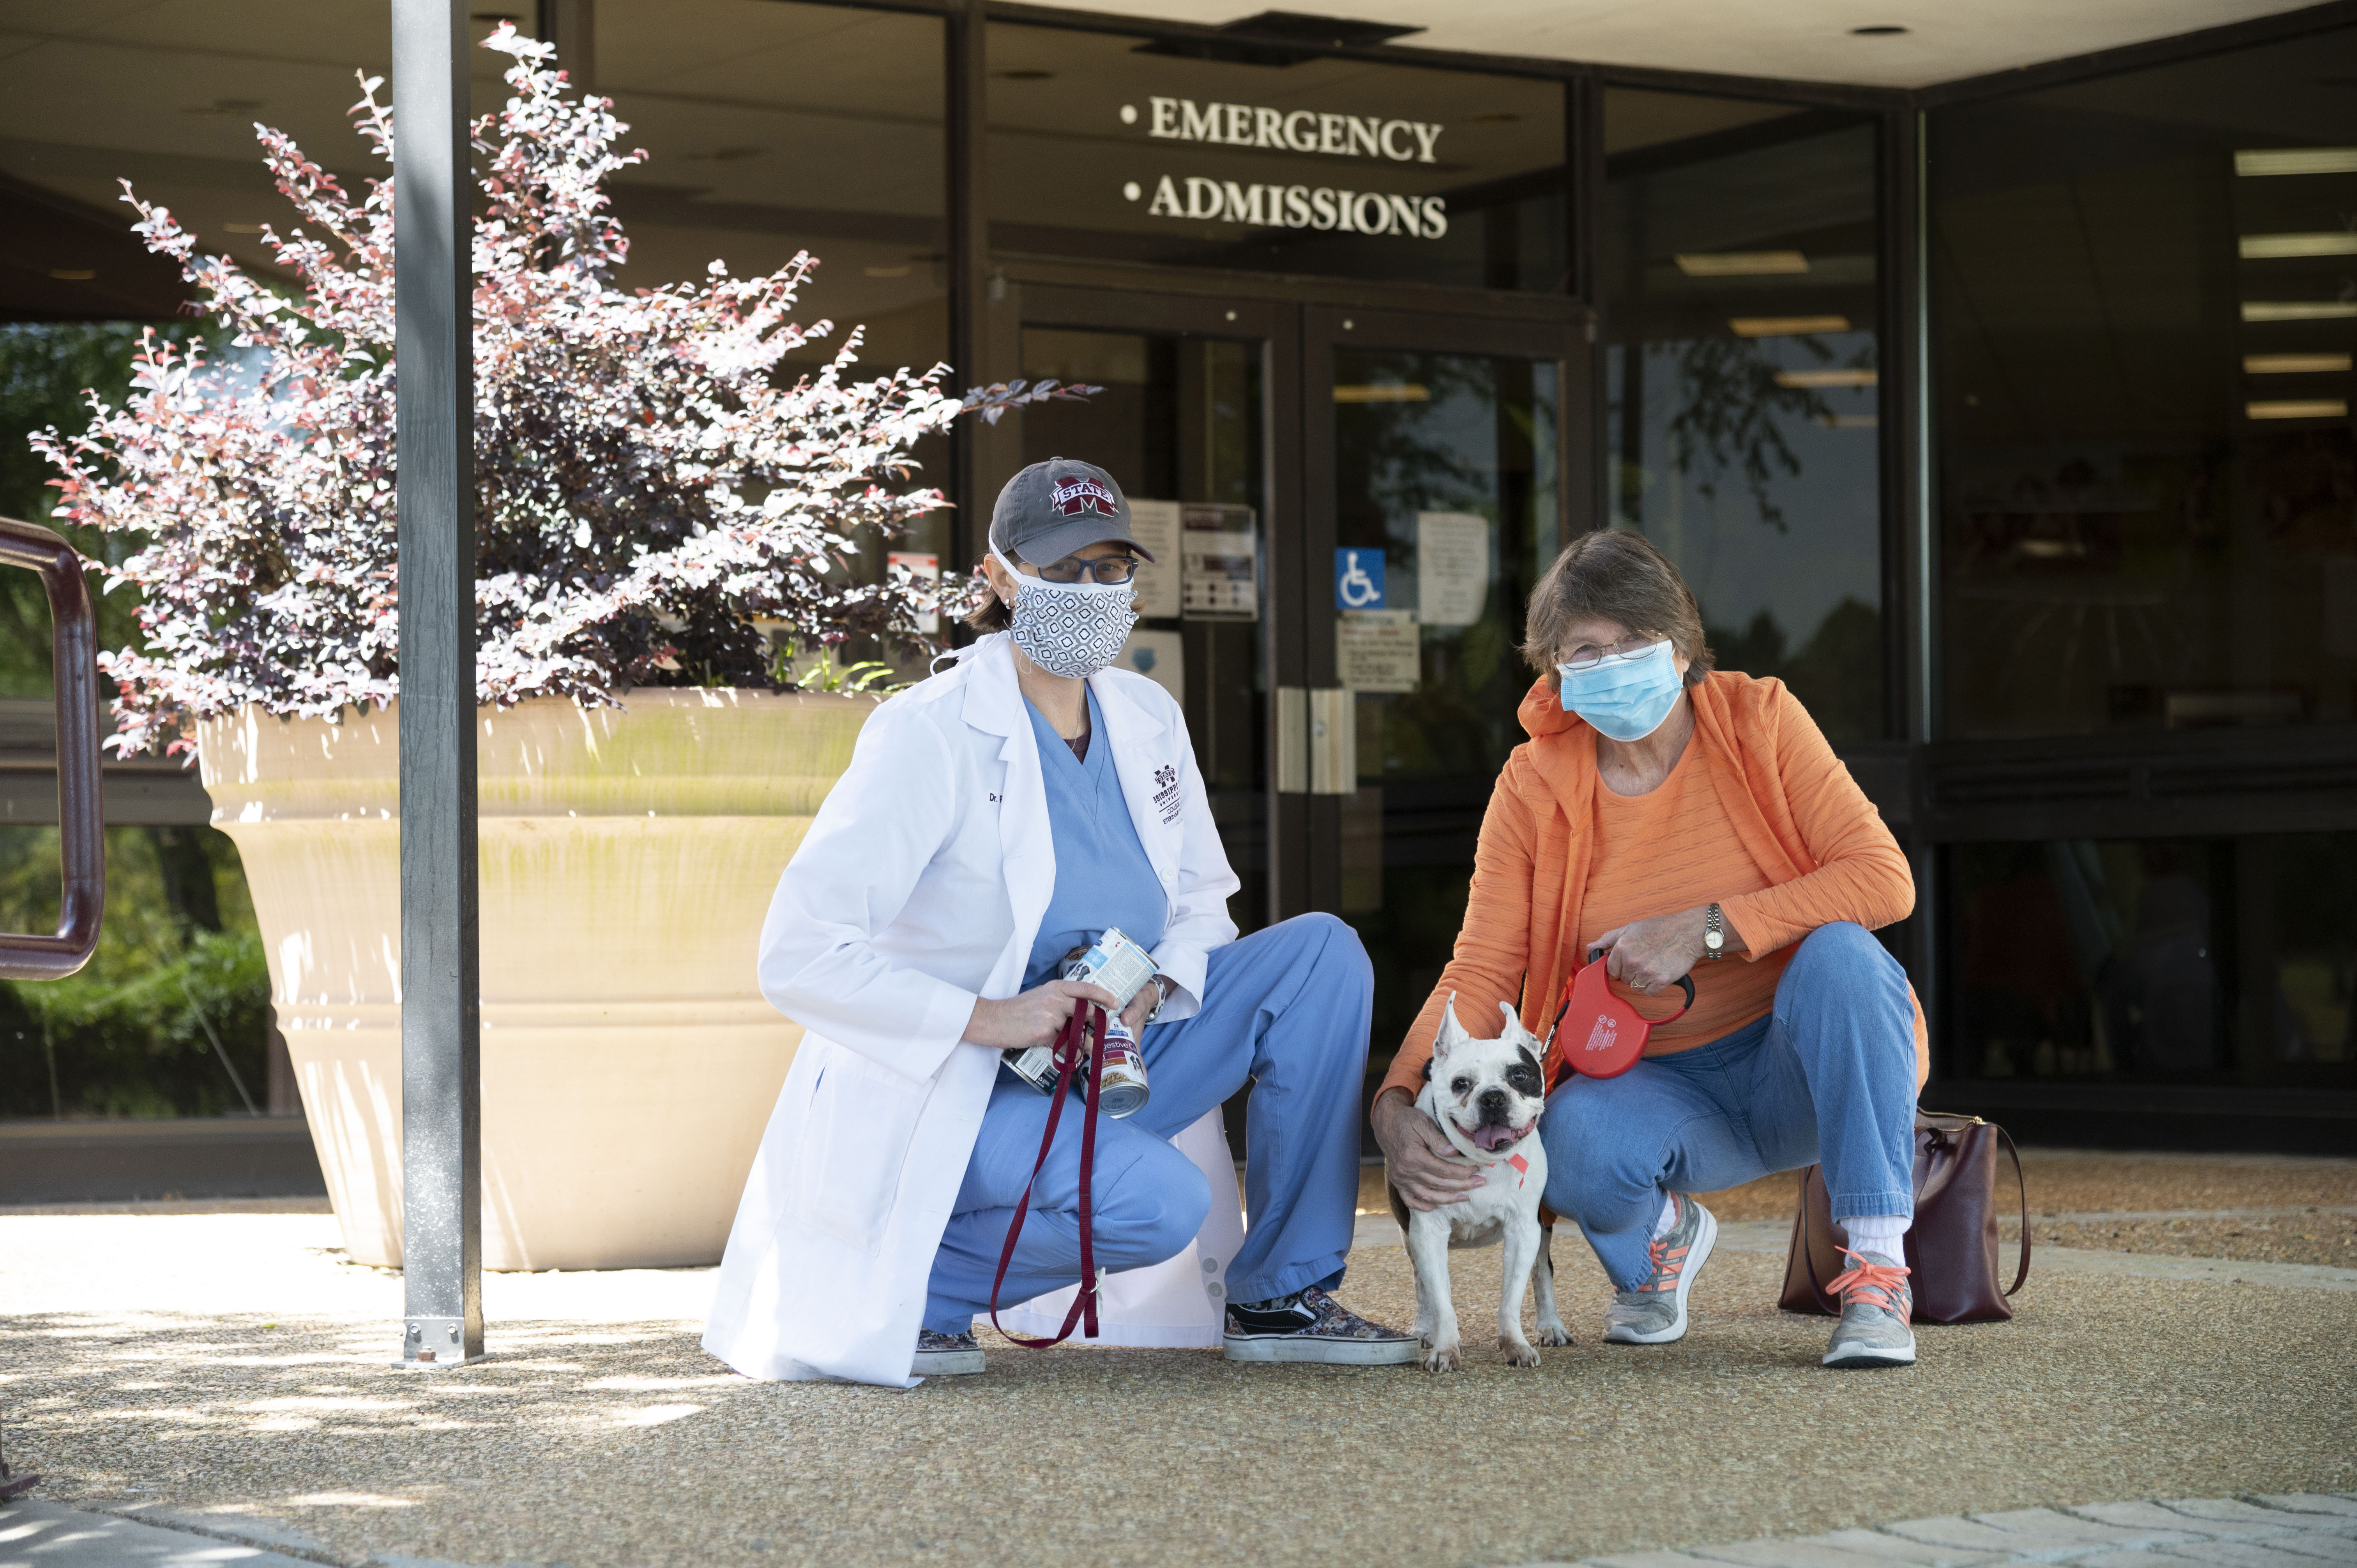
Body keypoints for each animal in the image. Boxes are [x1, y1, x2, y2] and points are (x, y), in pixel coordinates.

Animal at [1386, 995, 1574, 1367]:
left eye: (1519, 1075)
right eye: (1461, 1083)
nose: (1493, 1096)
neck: (1481, 1162)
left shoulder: (1523, 1231)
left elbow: (1512, 1298)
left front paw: (1515, 1345)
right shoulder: (1428, 1233)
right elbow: (1441, 1300)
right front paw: (1445, 1348)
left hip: (1541, 1229)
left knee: (1542, 1272)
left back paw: (1551, 1325)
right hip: (1409, 1237)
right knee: (1421, 1286)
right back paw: (1424, 1329)